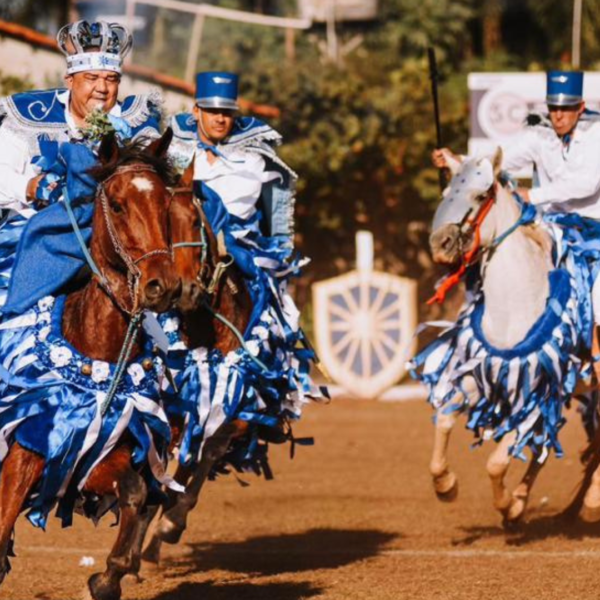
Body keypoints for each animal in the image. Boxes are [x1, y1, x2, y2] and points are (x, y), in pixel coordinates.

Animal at [0, 131, 180, 600]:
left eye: (165, 204)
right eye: (116, 205)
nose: (163, 286)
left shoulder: (98, 456)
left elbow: (136, 491)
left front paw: (106, 577)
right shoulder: (22, 456)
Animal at [414, 150, 600, 524]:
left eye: (481, 195)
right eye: (447, 192)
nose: (440, 245)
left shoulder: (537, 391)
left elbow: (497, 462)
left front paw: (507, 504)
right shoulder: (480, 374)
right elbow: (445, 418)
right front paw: (446, 484)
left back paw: (590, 502)